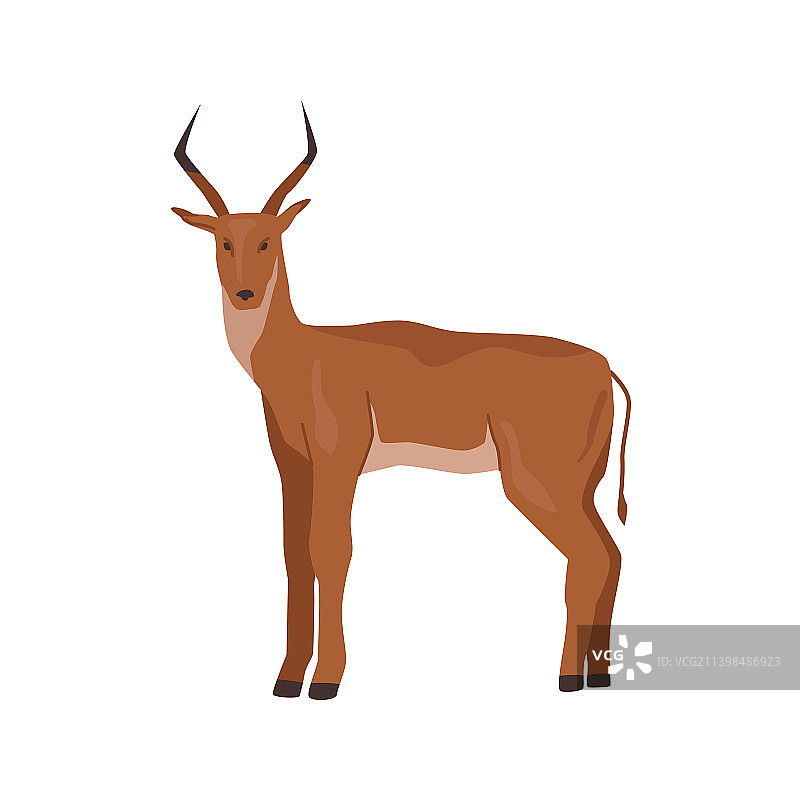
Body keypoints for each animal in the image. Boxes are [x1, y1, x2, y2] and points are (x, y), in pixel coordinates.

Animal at [172, 106, 632, 699]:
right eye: (224, 241)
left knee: (590, 557)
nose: (245, 293)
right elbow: (294, 556)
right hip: (580, 486)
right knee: (611, 555)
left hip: (536, 483)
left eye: (269, 240)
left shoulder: (339, 463)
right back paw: (598, 674)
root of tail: (603, 366)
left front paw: (326, 680)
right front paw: (286, 679)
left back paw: (569, 677)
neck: (303, 354)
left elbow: (331, 552)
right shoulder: (294, 469)